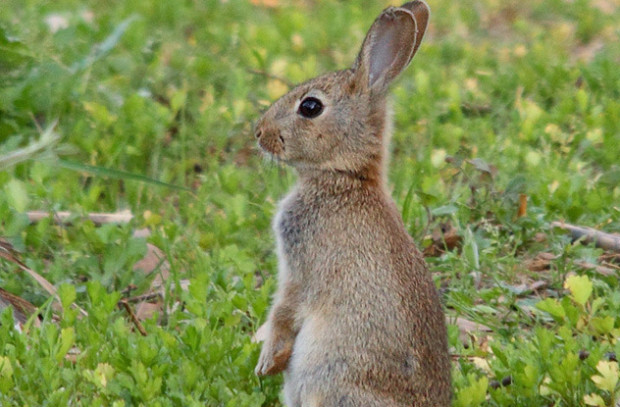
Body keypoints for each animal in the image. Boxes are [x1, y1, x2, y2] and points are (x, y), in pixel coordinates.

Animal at [252, 1, 450, 406]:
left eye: (310, 107)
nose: (259, 133)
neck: (345, 178)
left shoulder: (301, 268)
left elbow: (284, 311)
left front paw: (266, 363)